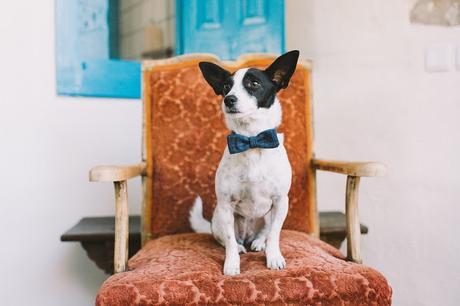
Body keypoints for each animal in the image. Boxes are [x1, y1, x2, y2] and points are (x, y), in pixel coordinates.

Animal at [189, 50, 300, 274]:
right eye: (225, 87)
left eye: (254, 84)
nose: (229, 99)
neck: (252, 140)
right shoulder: (225, 205)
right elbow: (230, 240)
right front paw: (232, 264)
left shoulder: (280, 201)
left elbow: (274, 235)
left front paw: (274, 257)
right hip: (218, 218)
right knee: (228, 239)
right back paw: (242, 246)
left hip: (267, 215)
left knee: (264, 232)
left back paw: (258, 243)